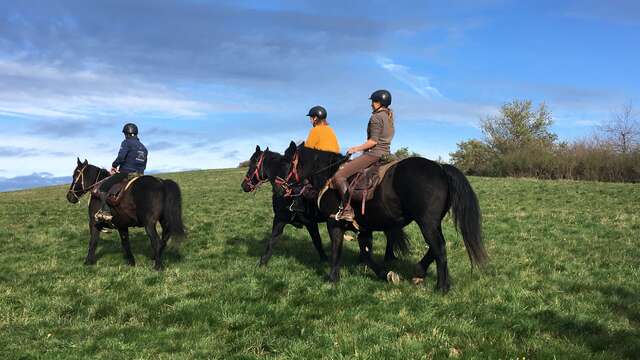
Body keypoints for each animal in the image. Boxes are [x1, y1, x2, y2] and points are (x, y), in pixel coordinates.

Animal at [240, 146, 400, 268]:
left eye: (252, 164)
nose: (244, 186)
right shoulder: (309, 223)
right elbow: (316, 241)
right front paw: (325, 259)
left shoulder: (281, 219)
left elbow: (273, 240)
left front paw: (262, 262)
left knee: (390, 234)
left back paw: (387, 257)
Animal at [282, 142, 488, 292]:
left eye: (287, 162)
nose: (283, 184)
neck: (330, 175)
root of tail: (441, 168)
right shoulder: (363, 229)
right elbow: (366, 255)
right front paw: (385, 274)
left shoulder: (334, 223)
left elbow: (336, 250)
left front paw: (332, 278)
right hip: (432, 223)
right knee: (435, 247)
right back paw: (419, 272)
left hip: (426, 223)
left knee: (439, 248)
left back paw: (441, 287)